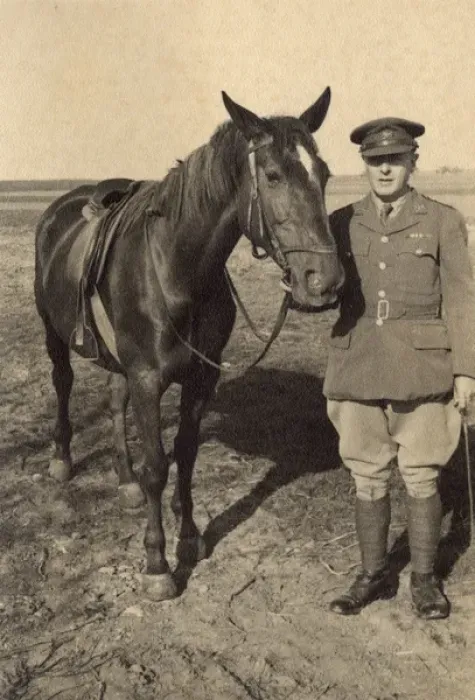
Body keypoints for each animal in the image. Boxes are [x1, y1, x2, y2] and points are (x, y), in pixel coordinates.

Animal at [34, 88, 344, 600]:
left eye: (325, 173)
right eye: (273, 176)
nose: (325, 281)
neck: (177, 267)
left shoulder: (202, 376)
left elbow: (186, 453)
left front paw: (190, 537)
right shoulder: (148, 379)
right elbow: (159, 465)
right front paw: (158, 563)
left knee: (114, 401)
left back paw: (124, 479)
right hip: (53, 331)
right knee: (62, 383)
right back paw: (62, 460)